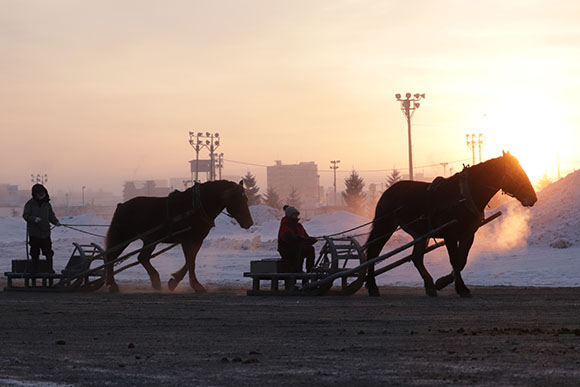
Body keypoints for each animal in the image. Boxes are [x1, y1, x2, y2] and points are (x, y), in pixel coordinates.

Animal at [103, 180, 253, 292]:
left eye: (246, 198)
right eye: (237, 199)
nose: (249, 223)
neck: (196, 206)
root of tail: (121, 205)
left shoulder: (196, 240)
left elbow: (190, 261)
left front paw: (174, 281)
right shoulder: (187, 240)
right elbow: (191, 262)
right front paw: (196, 286)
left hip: (150, 240)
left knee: (142, 257)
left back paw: (155, 281)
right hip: (122, 238)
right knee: (111, 257)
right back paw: (113, 285)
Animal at [364, 153, 536, 298]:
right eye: (516, 173)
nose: (533, 197)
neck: (463, 196)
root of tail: (388, 191)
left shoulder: (468, 234)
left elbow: (461, 260)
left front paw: (442, 282)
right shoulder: (450, 235)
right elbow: (454, 260)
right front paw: (461, 288)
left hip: (420, 234)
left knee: (416, 257)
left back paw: (429, 285)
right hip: (384, 227)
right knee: (372, 253)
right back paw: (372, 286)